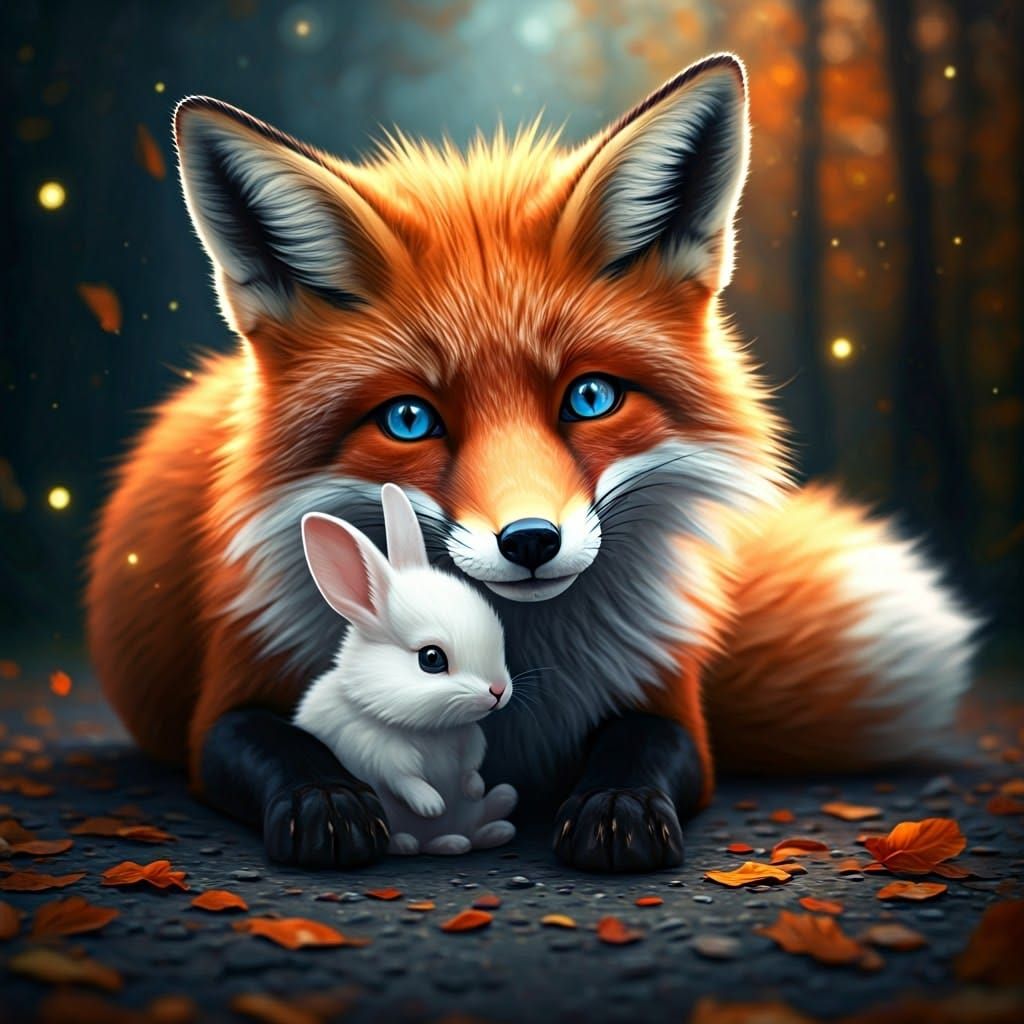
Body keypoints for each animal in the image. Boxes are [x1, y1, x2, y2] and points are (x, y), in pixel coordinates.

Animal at [294, 483, 518, 856]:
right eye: (431, 658)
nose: (498, 691)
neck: (431, 730)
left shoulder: (468, 739)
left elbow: (470, 768)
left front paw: (473, 787)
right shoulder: (375, 749)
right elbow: (403, 779)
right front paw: (431, 804)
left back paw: (490, 826)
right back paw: (411, 842)